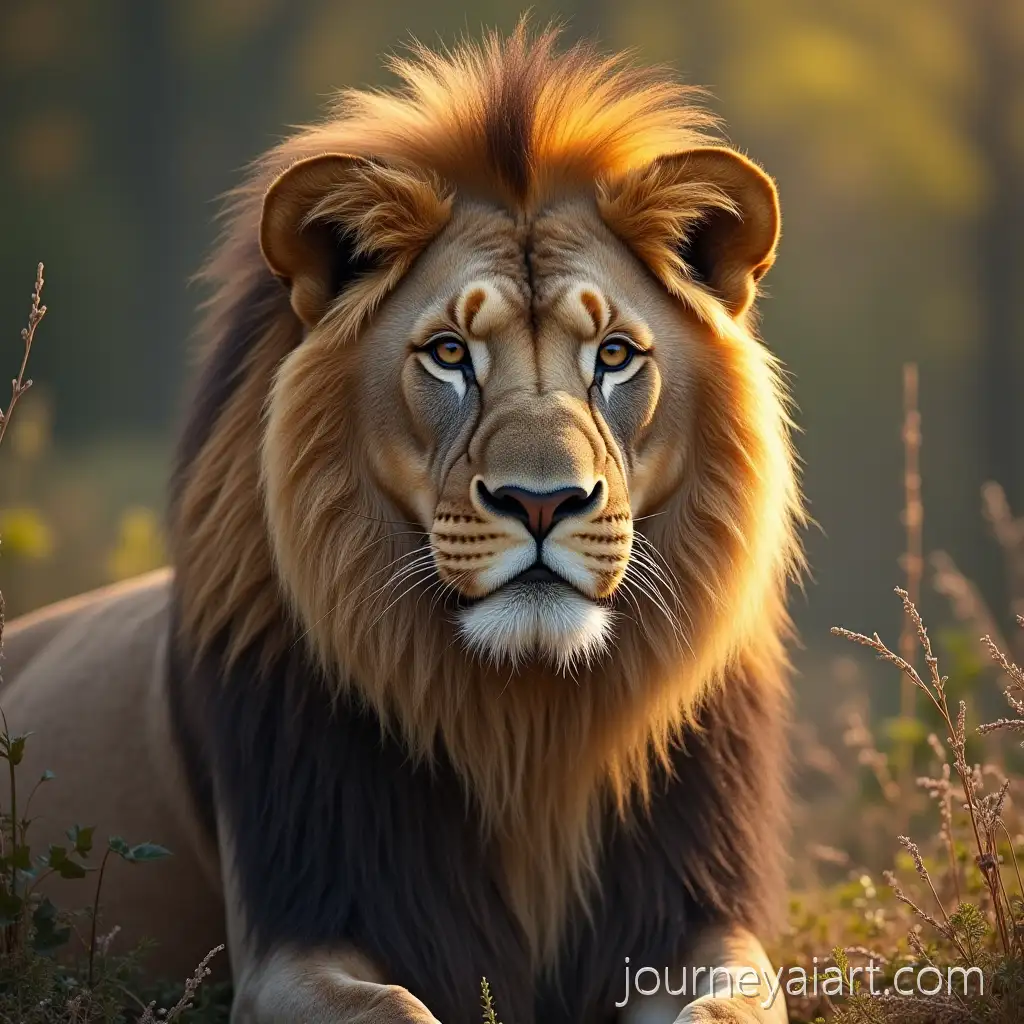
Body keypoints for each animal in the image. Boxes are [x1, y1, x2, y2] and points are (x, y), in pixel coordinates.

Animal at [2, 24, 803, 1024]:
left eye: (615, 355)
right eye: (450, 355)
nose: (543, 502)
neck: (529, 729)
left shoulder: (693, 913)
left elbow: (731, 1003)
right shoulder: (293, 935)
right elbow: (394, 1006)